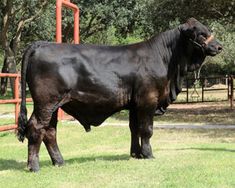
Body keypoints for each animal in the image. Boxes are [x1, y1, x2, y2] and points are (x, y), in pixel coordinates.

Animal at [17, 18, 221, 172]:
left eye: (208, 30)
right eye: (201, 33)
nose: (219, 47)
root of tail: (41, 44)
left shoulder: (135, 104)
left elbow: (135, 128)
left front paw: (136, 154)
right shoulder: (148, 100)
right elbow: (147, 129)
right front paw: (148, 154)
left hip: (52, 105)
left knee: (50, 131)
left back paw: (59, 162)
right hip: (46, 103)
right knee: (36, 128)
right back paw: (34, 166)